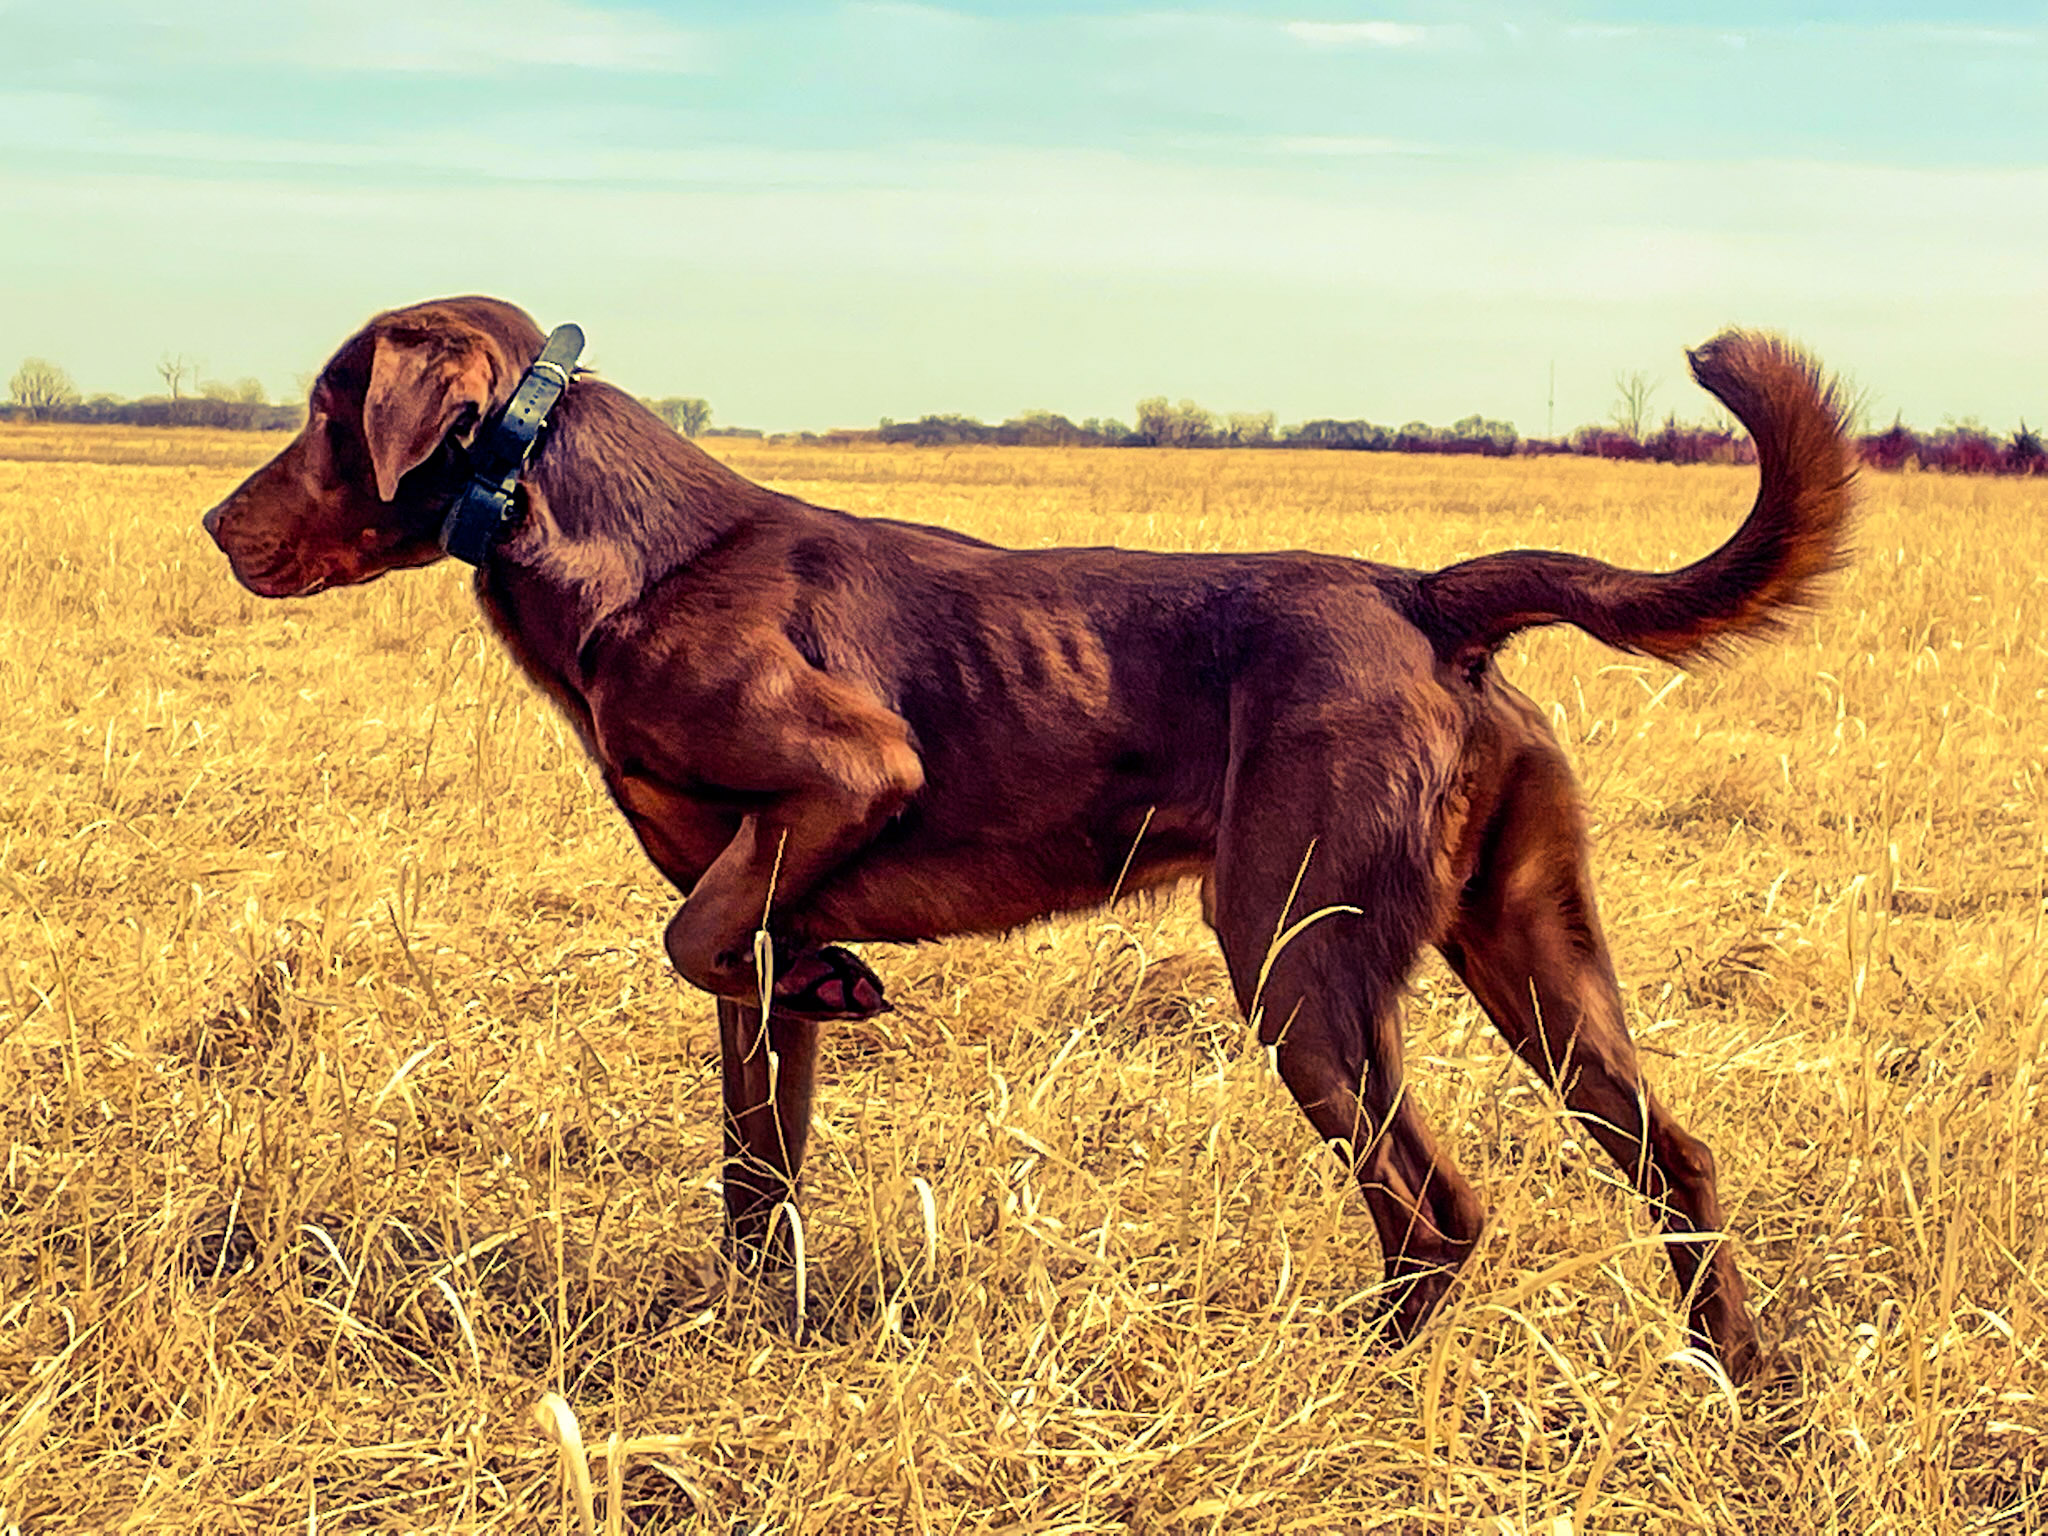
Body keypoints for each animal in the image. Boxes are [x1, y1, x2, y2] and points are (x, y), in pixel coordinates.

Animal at [203, 296, 1859, 1384]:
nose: (217, 530)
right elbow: (755, 1160)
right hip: (1529, 946)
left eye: (326, 412)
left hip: (1295, 958)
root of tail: (1423, 594)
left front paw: (845, 985)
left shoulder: (849, 772)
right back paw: (1741, 1381)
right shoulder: (760, 943)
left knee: (1434, 1206)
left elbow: (693, 936)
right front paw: (749, 1330)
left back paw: (1352, 1375)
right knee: (1674, 1157)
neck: (621, 546)